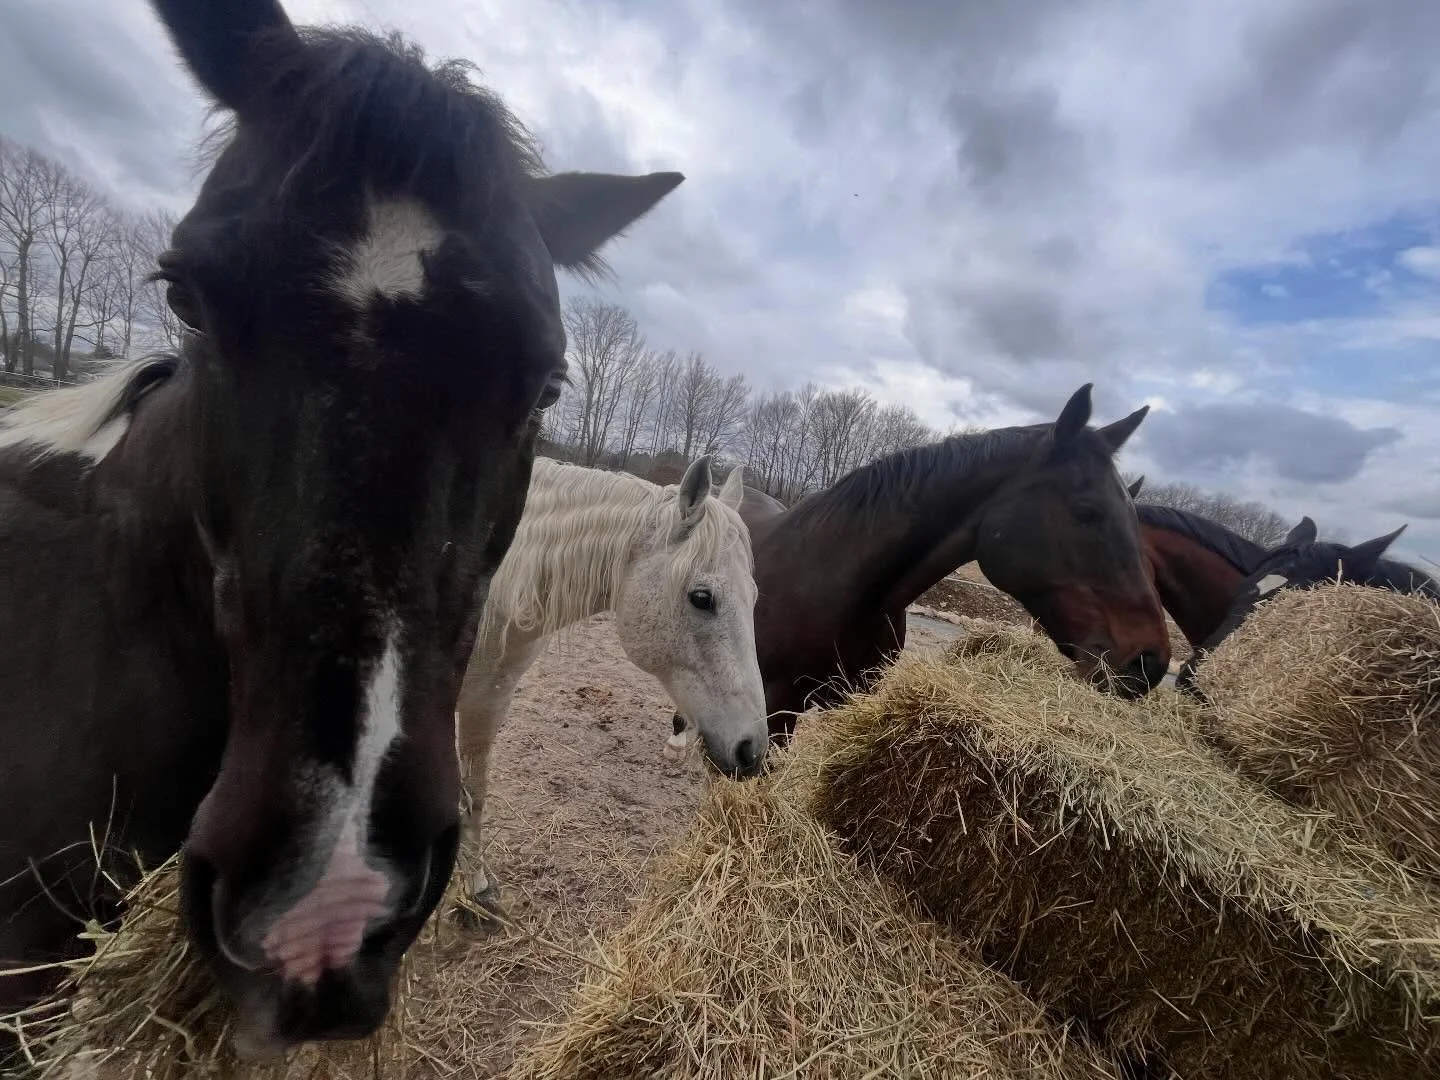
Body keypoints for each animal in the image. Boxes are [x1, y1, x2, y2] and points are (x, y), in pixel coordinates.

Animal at [452, 455, 766, 922]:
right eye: (702, 597)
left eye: (754, 596)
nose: (752, 750)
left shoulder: (486, 699)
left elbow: (473, 793)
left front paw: (475, 885)